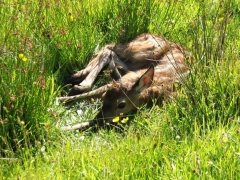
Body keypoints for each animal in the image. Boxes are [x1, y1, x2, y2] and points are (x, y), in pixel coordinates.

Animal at [58, 33, 189, 130]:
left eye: (121, 104)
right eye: (104, 98)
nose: (99, 118)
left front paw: (63, 127)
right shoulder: (122, 80)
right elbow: (91, 93)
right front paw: (58, 100)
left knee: (111, 52)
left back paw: (77, 79)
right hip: (143, 52)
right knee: (109, 47)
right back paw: (76, 78)